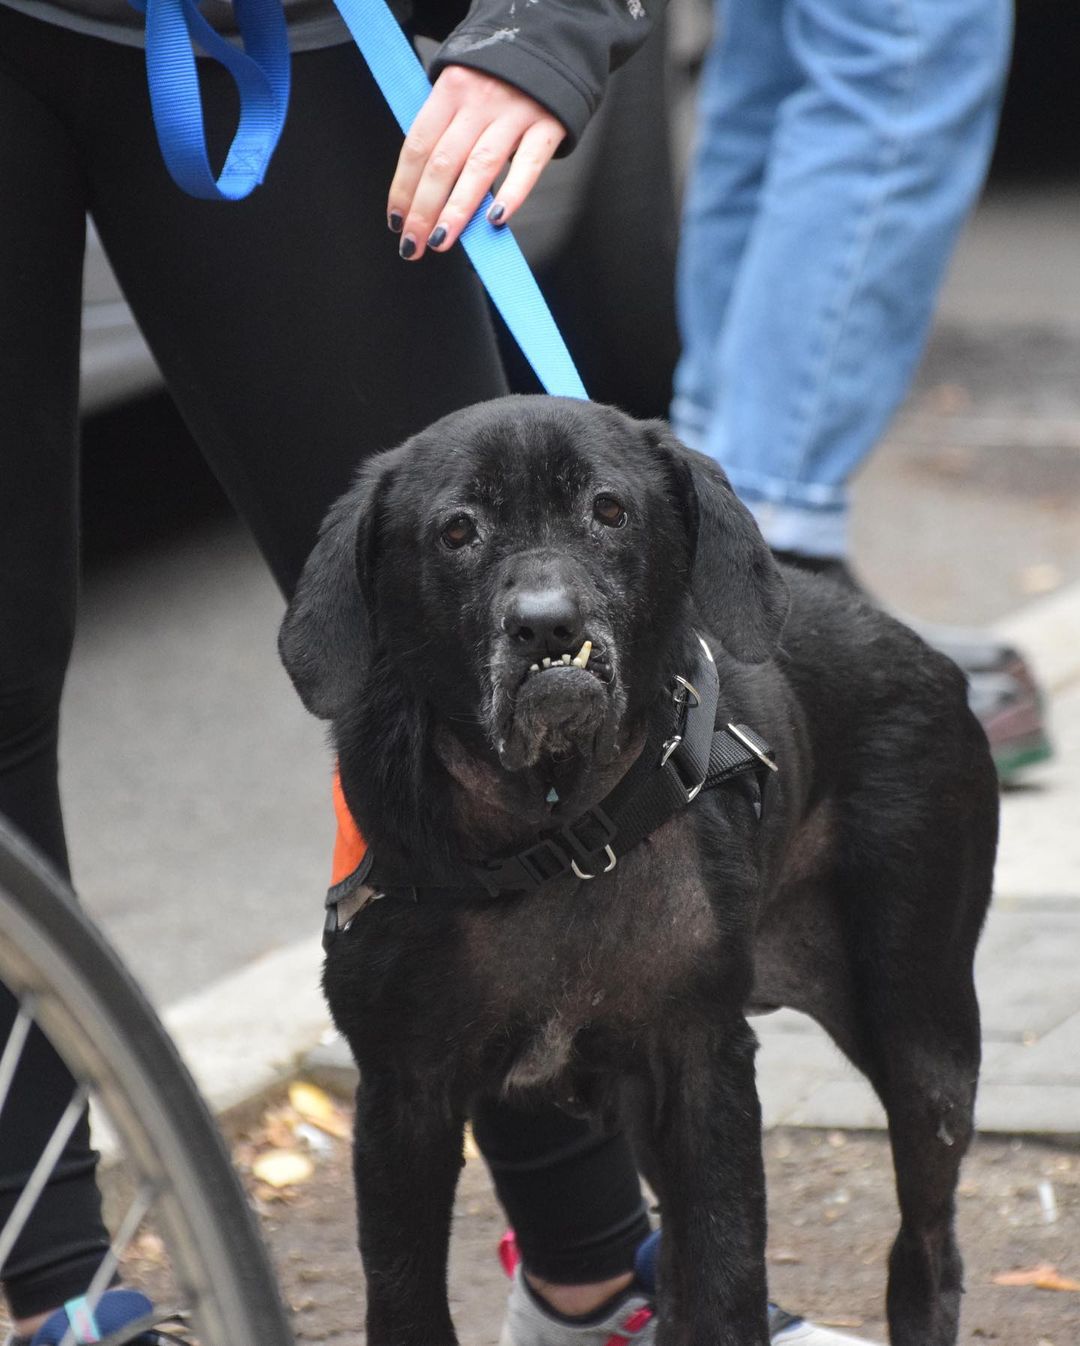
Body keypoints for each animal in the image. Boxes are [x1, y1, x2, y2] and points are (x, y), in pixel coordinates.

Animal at [277, 395, 991, 1346]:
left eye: (609, 511)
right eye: (458, 530)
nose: (547, 625)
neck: (551, 832)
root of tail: (927, 654)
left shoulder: (703, 1067)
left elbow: (728, 1270)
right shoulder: (404, 1096)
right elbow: (402, 1294)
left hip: (924, 1039)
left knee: (927, 1246)